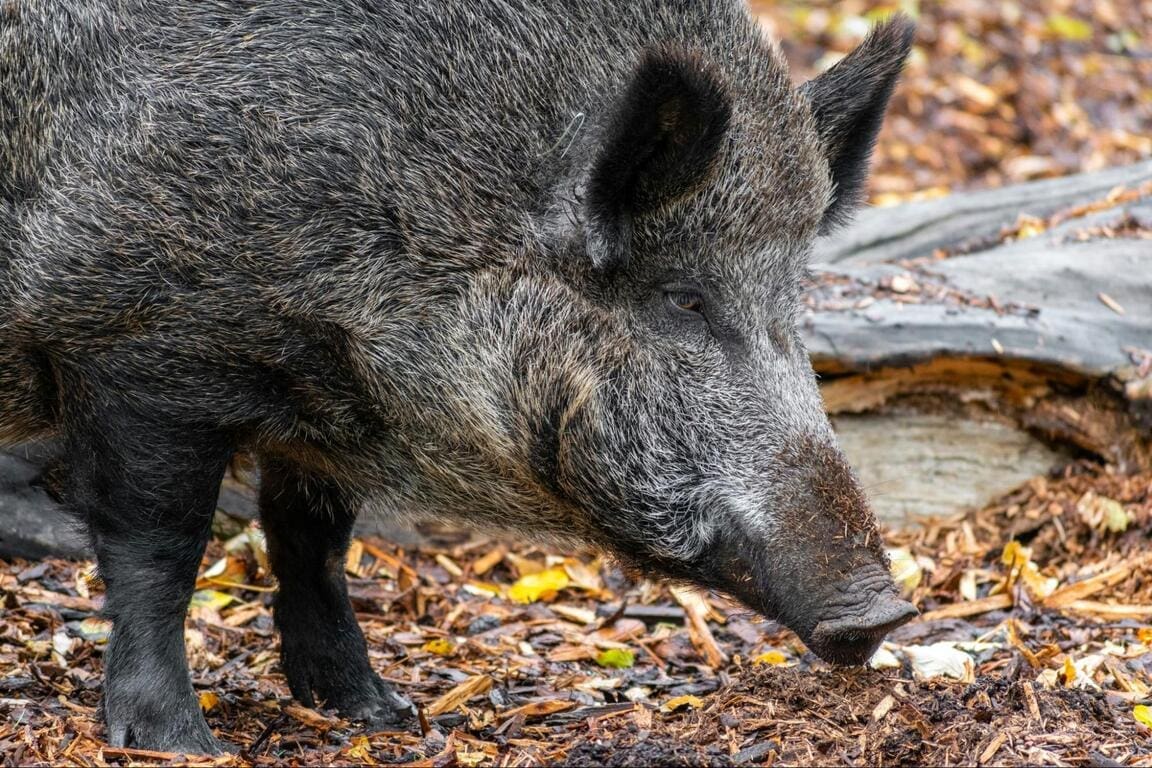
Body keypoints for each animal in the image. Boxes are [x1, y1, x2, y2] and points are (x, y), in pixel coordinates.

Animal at [0, 0, 916, 754]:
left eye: (793, 294)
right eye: (683, 297)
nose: (886, 608)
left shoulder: (322, 408)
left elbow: (312, 543)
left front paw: (380, 714)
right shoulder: (133, 343)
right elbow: (160, 548)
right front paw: (182, 745)